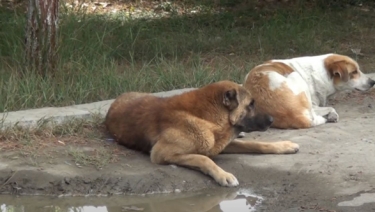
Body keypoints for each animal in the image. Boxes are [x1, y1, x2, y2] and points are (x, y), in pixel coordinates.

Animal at [105, 80, 300, 186]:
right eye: (251, 104)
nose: (272, 120)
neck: (207, 118)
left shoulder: (220, 143)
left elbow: (256, 144)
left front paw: (283, 146)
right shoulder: (162, 154)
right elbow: (203, 158)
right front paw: (223, 175)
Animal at [242, 53, 374, 129]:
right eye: (354, 72)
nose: (373, 82)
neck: (322, 73)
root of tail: (296, 116)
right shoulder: (314, 104)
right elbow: (331, 108)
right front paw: (332, 114)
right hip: (295, 76)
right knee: (313, 116)